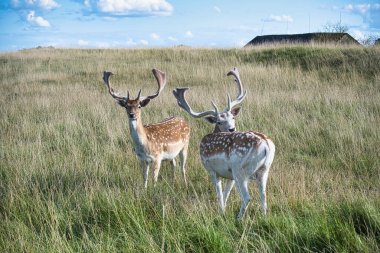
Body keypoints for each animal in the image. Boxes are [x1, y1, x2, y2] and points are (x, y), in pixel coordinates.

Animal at [173, 67, 276, 219]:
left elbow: (219, 194)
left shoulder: (211, 169)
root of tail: (266, 145)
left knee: (247, 197)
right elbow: (226, 194)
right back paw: (264, 217)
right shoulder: (229, 176)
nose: (232, 129)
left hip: (240, 170)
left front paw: (221, 212)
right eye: (219, 121)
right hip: (263, 170)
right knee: (263, 195)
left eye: (233, 117)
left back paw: (239, 219)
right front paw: (223, 210)